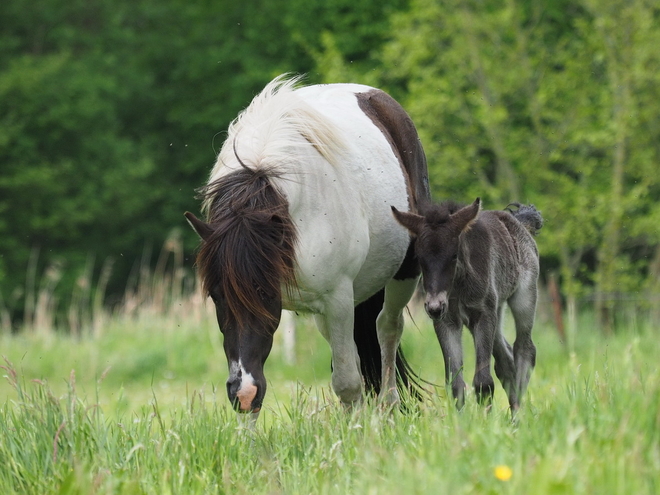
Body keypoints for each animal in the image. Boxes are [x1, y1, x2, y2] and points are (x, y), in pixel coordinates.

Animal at [186, 75, 430, 420]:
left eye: (264, 293)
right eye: (216, 297)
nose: (241, 393)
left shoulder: (338, 301)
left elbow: (347, 383)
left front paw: (357, 430)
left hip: (403, 275)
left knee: (387, 328)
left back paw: (389, 406)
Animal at [392, 200, 540, 412]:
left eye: (454, 255)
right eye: (419, 257)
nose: (434, 307)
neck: (457, 289)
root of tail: (519, 222)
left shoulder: (483, 315)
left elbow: (484, 382)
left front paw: (484, 420)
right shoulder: (446, 321)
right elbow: (456, 384)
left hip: (524, 296)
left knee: (524, 348)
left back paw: (519, 412)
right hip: (497, 310)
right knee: (505, 360)